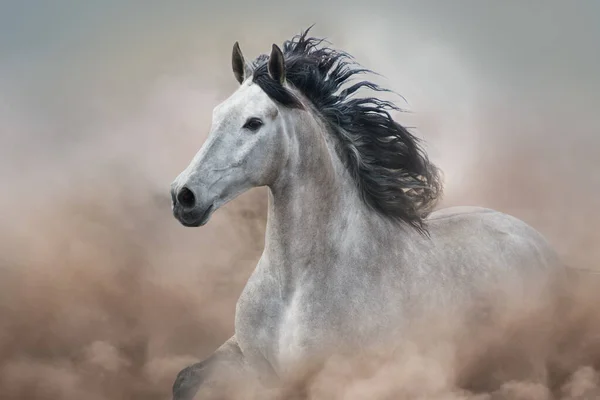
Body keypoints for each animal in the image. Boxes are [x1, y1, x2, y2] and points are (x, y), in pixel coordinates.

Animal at [170, 27, 568, 396]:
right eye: (217, 115)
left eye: (253, 122)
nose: (183, 196)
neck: (295, 288)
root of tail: (537, 240)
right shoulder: (247, 358)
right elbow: (185, 379)